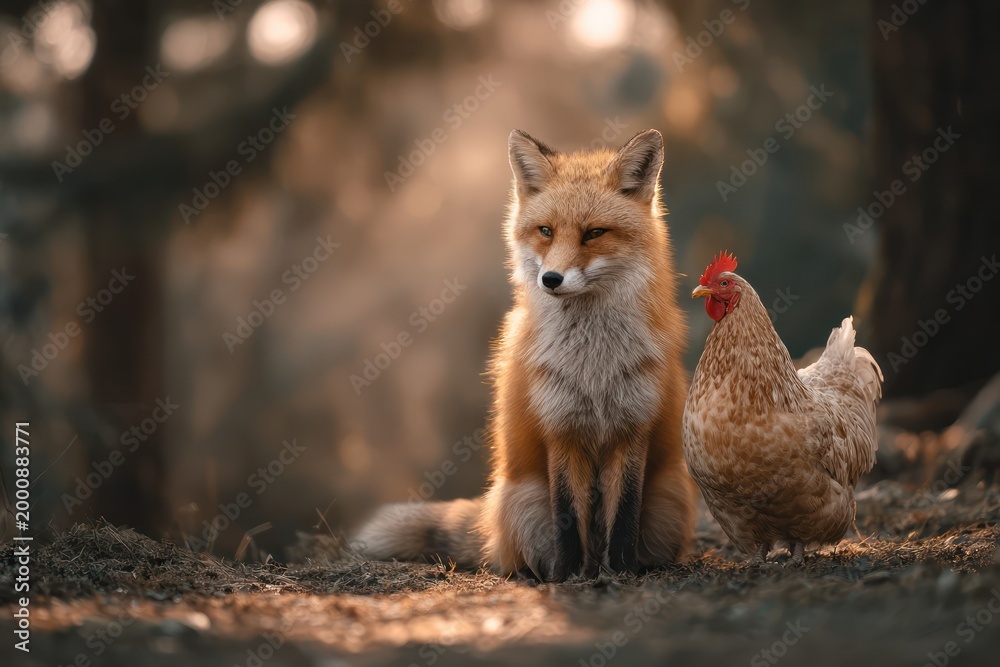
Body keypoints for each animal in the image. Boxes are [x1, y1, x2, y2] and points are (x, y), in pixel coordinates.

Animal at [352, 129, 695, 581]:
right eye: (545, 231)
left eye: (594, 233)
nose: (551, 279)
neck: (593, 365)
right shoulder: (559, 428)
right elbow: (568, 518)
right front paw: (568, 578)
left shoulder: (633, 427)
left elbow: (623, 518)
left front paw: (621, 573)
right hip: (524, 503)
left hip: (670, 501)